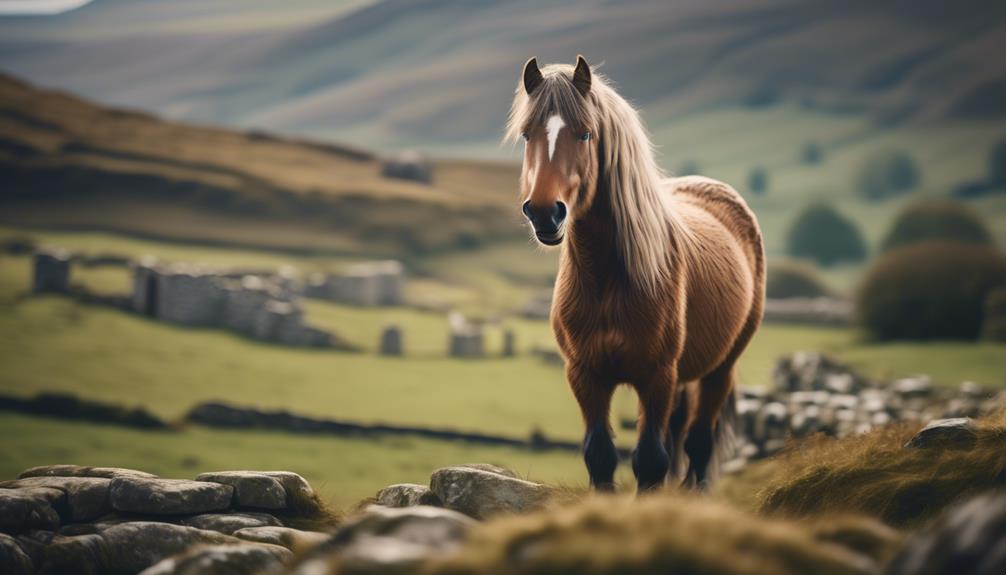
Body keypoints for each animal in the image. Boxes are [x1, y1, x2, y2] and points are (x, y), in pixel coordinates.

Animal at [507, 57, 764, 490]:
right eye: (528, 135)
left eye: (585, 134)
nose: (544, 212)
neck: (608, 279)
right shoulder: (585, 375)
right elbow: (600, 457)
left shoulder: (656, 376)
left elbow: (650, 461)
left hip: (719, 371)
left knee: (698, 445)